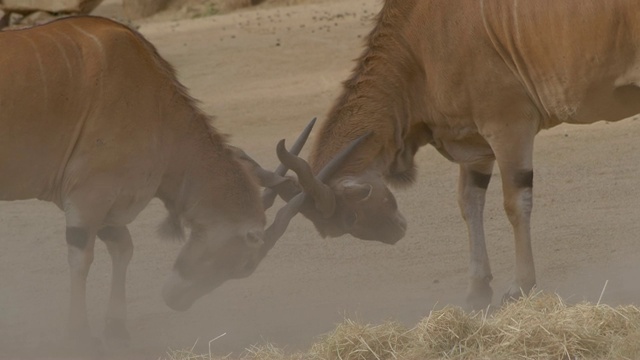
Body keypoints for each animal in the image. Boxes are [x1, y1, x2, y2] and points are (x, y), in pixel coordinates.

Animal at [0, 15, 348, 350]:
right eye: (244, 265)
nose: (176, 300)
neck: (157, 105)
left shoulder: (109, 204)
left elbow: (123, 248)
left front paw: (116, 330)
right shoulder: (89, 194)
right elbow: (82, 257)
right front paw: (80, 337)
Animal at [278, 0, 640, 310]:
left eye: (349, 218)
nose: (396, 232)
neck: (418, 46)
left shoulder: (508, 125)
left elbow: (514, 202)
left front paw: (519, 287)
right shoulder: (475, 145)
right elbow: (468, 202)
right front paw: (477, 291)